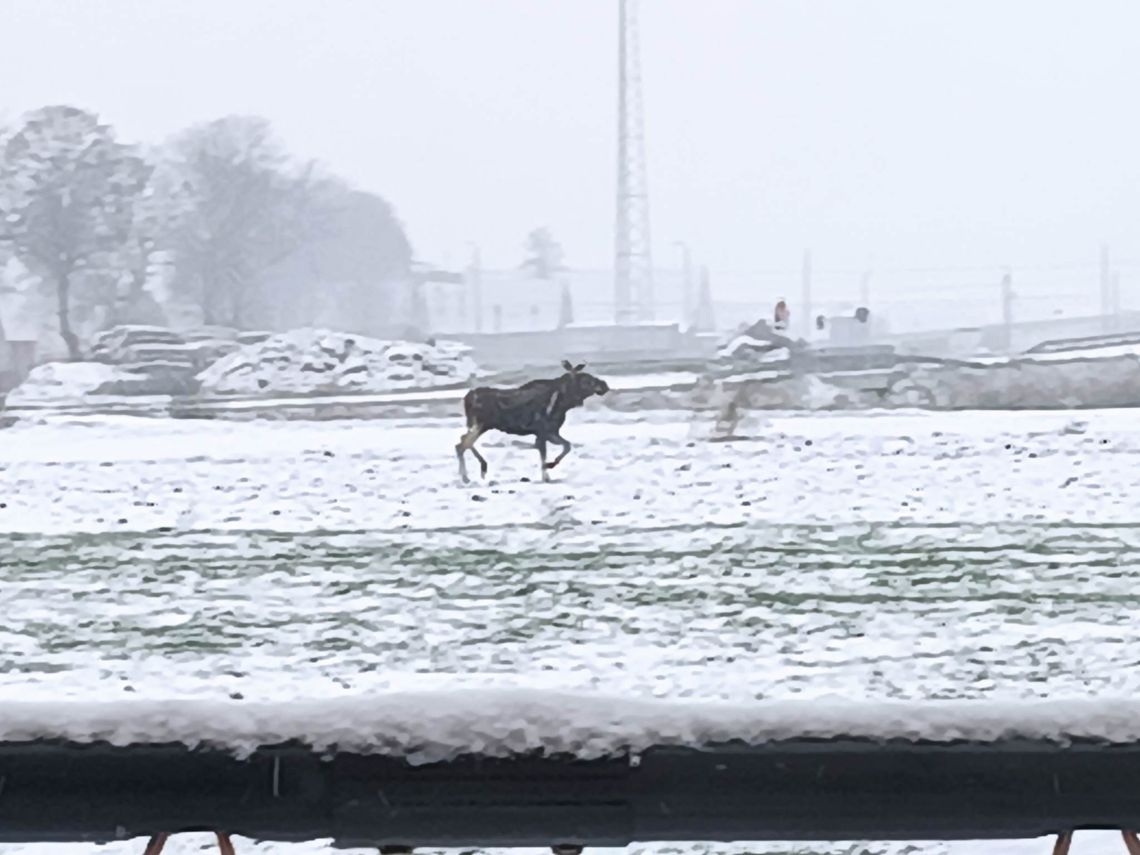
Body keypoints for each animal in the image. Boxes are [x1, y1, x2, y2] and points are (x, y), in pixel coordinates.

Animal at [456, 360, 611, 483]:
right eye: (586, 379)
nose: (605, 385)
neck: (563, 402)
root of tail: (468, 398)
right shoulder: (543, 432)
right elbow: (545, 454)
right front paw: (546, 473)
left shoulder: (550, 432)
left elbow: (566, 446)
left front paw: (548, 468)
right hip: (482, 424)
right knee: (463, 444)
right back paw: (472, 473)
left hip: (481, 426)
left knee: (462, 442)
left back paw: (470, 474)